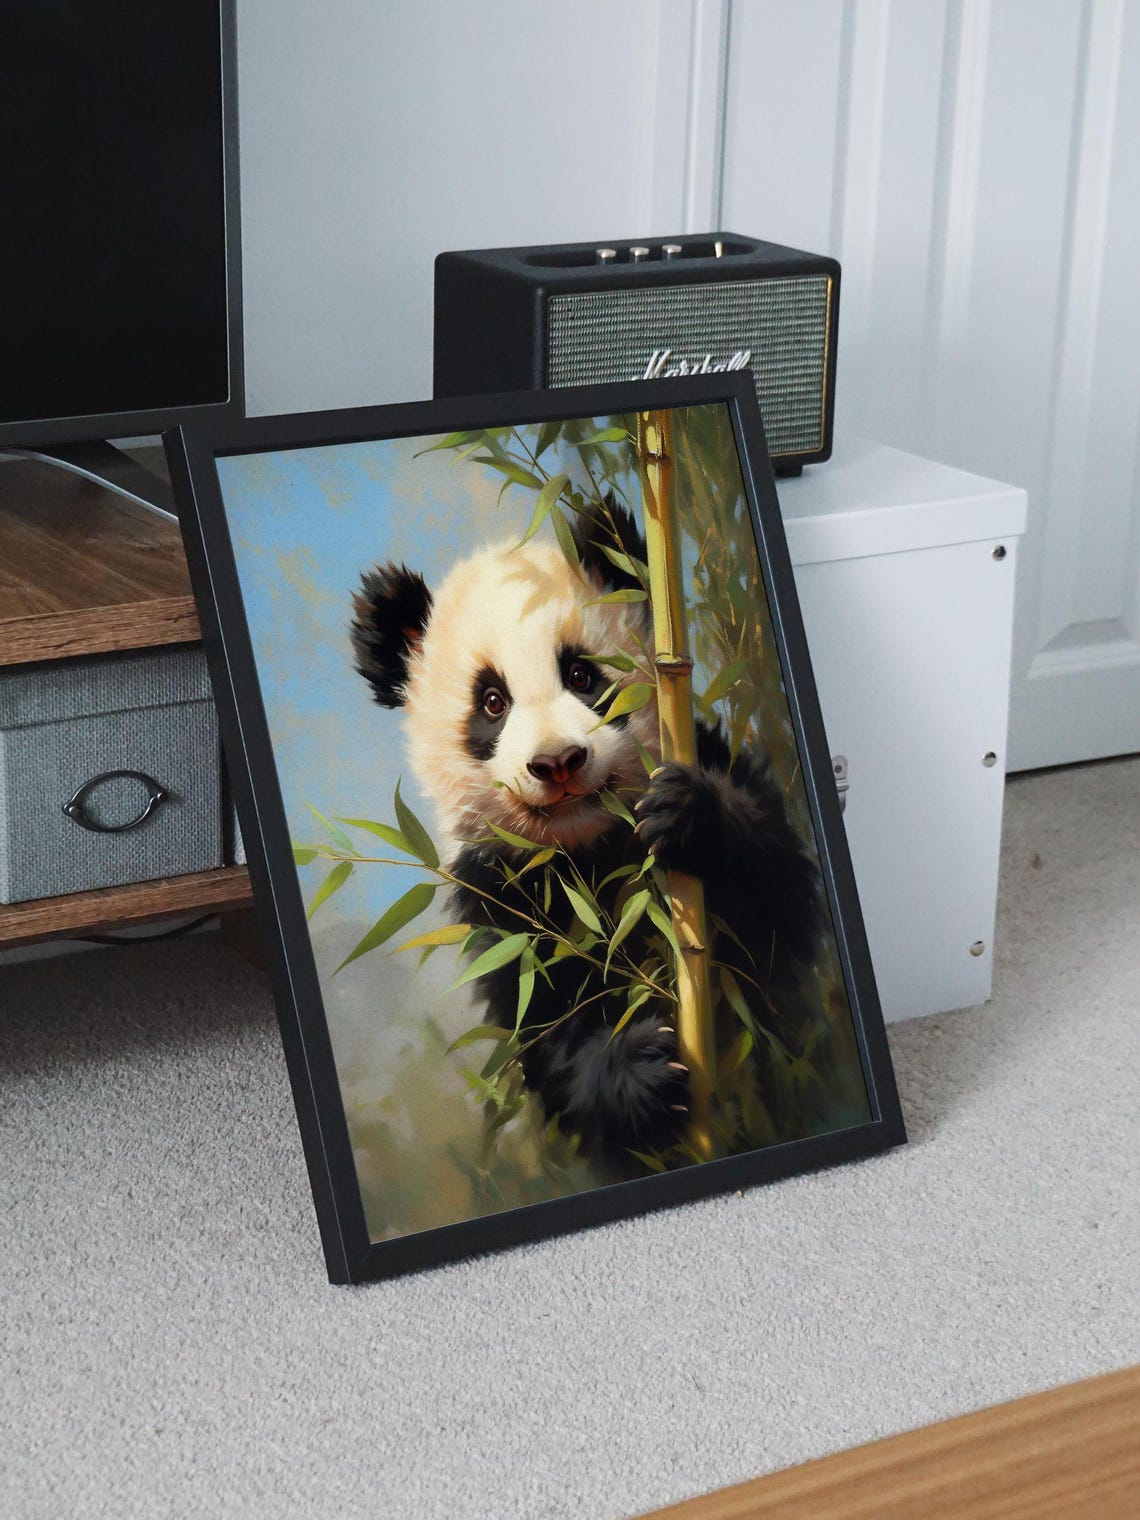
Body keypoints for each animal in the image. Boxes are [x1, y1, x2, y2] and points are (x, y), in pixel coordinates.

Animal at [350, 495, 821, 1168]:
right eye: (491, 702)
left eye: (580, 674)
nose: (558, 763)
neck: (590, 850)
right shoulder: (506, 897)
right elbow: (545, 1020)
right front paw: (639, 1069)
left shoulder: (710, 764)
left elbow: (775, 915)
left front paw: (688, 815)